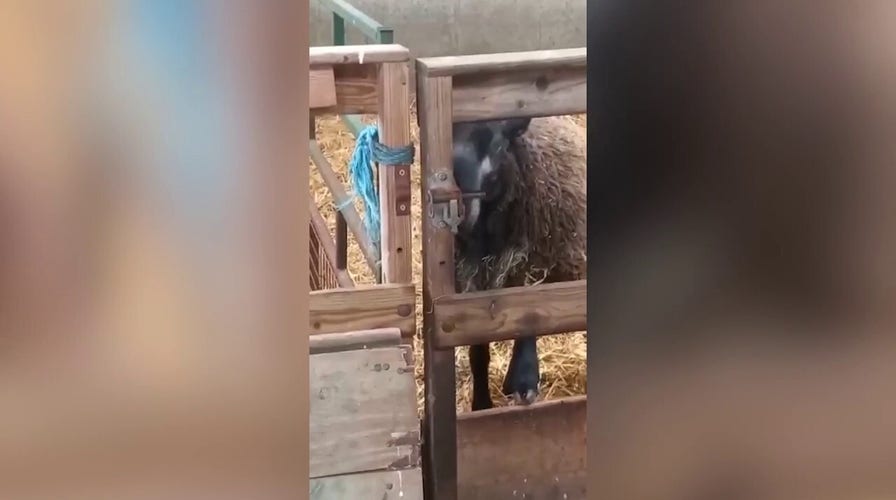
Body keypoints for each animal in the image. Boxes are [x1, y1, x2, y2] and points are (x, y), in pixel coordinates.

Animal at [451, 115, 587, 410]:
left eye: (499, 146)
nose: (461, 211)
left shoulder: (528, 267)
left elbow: (527, 322)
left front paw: (525, 382)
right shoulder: (473, 289)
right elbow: (478, 352)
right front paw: (481, 404)